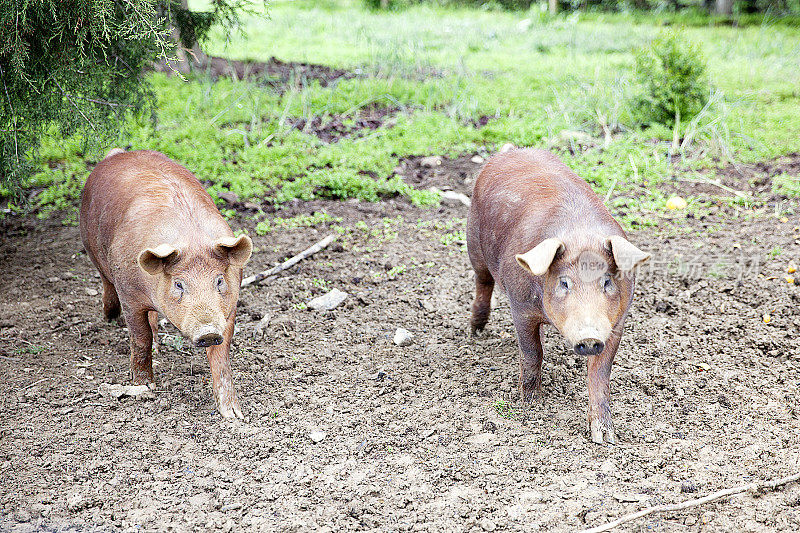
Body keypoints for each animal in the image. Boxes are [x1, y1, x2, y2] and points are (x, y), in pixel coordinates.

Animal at [79, 148, 252, 418]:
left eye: (219, 280)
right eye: (179, 284)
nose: (208, 331)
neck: (191, 239)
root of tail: (118, 154)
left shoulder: (230, 307)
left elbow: (221, 356)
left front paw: (234, 415)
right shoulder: (129, 295)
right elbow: (140, 339)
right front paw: (144, 387)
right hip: (93, 249)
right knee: (106, 283)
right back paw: (110, 318)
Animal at [468, 148, 648, 442]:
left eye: (607, 281)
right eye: (564, 283)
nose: (588, 336)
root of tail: (512, 151)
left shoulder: (616, 323)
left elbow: (600, 374)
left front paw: (605, 437)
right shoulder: (521, 308)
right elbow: (532, 353)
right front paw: (531, 407)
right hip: (473, 243)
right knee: (482, 281)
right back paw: (475, 330)